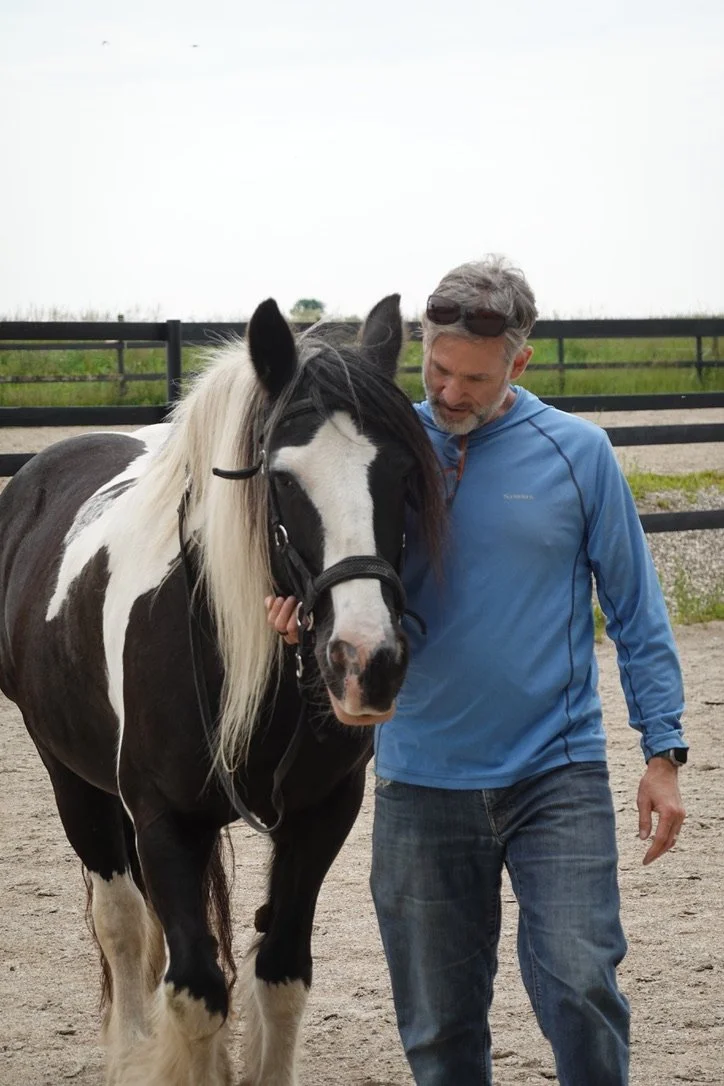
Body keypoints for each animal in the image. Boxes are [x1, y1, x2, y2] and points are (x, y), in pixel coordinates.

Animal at [0, 295, 446, 1086]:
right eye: (283, 478)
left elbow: (280, 972)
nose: (366, 661)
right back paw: (132, 1051)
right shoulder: (162, 817)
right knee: (123, 927)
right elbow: (195, 989)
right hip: (72, 779)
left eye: (402, 473)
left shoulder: (320, 816)